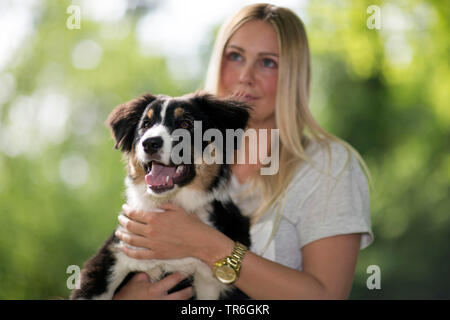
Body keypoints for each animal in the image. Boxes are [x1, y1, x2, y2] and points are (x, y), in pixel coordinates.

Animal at [71, 92, 253, 300]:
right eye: (146, 124)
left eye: (186, 124)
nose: (150, 143)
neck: (168, 204)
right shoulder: (111, 257)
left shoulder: (213, 283)